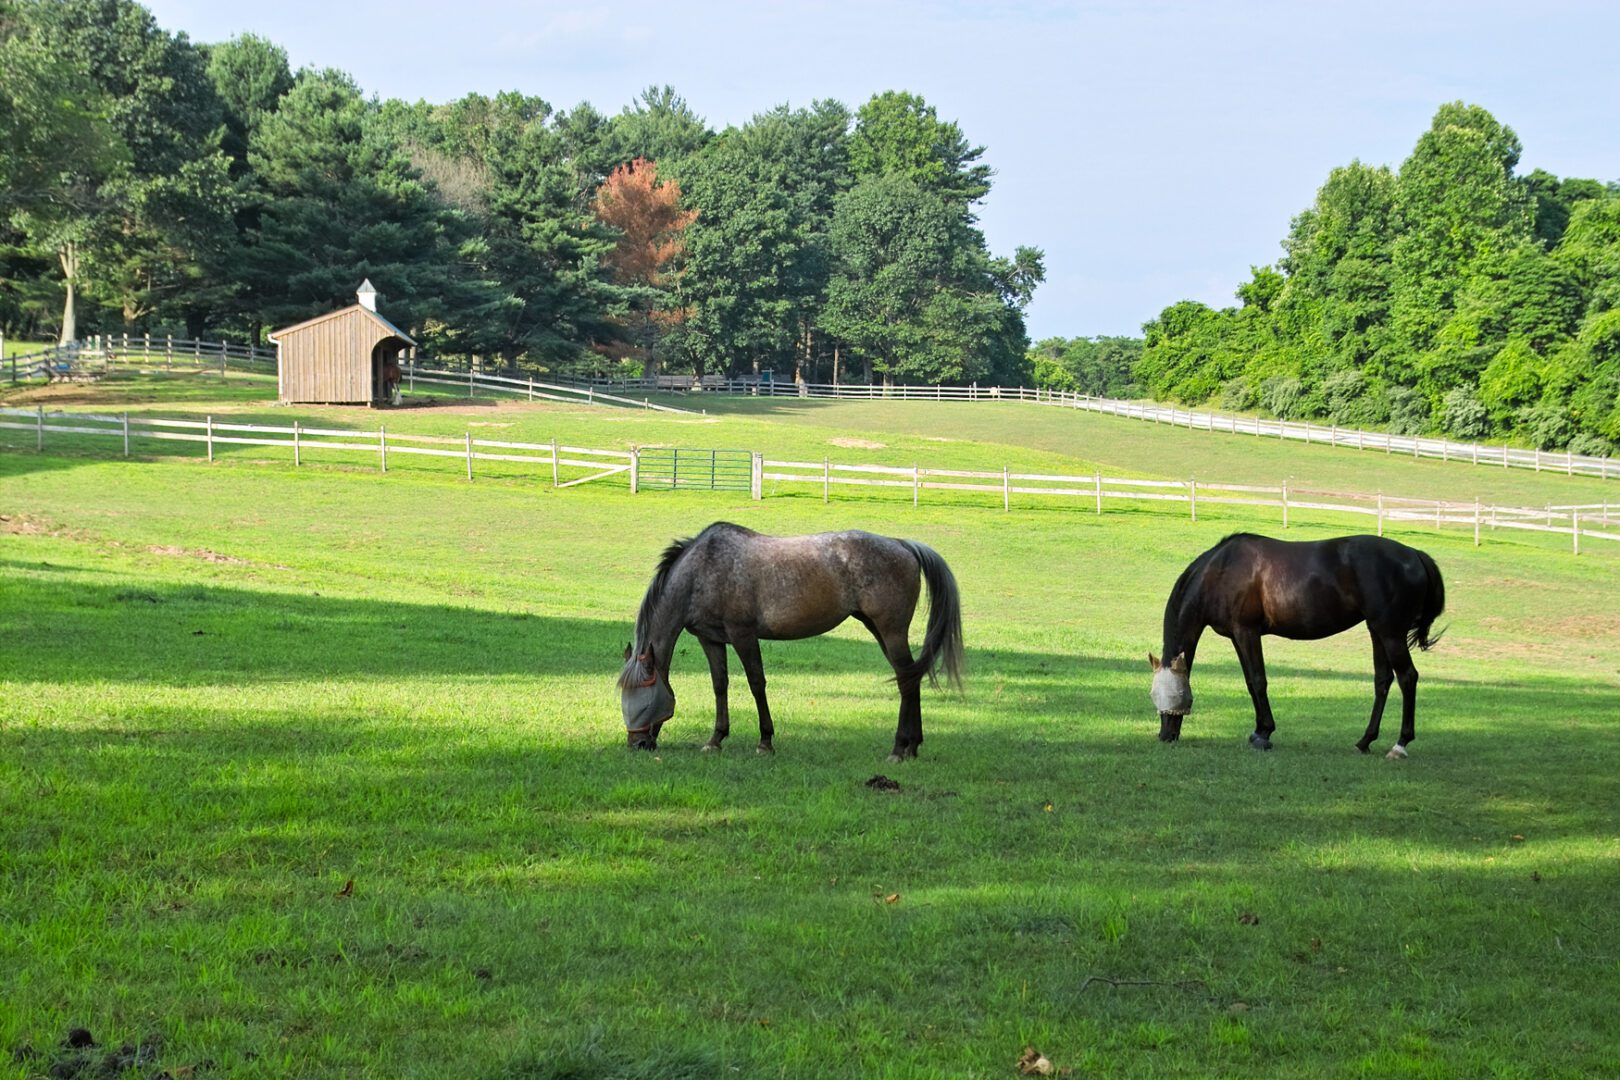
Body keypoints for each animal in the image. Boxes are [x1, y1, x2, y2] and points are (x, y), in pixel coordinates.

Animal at [618, 522, 964, 760]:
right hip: (879, 630)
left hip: (890, 631)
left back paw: (898, 748)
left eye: (645, 700)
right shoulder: (711, 640)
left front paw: (765, 742)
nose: (637, 744)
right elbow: (720, 685)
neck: (704, 568)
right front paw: (716, 739)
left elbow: (757, 683)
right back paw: (912, 746)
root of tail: (902, 545)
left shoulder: (743, 635)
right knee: (910, 677)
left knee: (906, 680)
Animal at [1149, 533, 1445, 757]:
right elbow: (1249, 681)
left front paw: (1264, 733)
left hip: (1391, 633)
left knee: (1407, 677)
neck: (1220, 571)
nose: (1165, 735)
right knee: (1383, 680)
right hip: (1377, 631)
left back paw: (1400, 745)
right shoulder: (1236, 636)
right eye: (1153, 695)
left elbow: (1259, 680)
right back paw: (1365, 741)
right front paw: (1259, 730)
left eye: (1177, 694)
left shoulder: (1247, 632)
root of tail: (1414, 554)